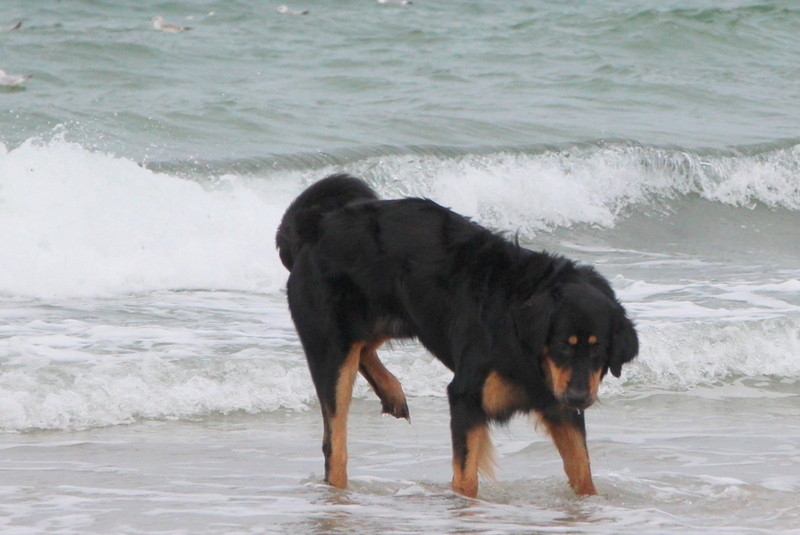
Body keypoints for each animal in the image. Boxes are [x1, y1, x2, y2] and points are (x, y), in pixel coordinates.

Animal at [276, 176, 636, 498]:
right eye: (563, 345)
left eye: (600, 350)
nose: (579, 397)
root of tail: (313, 227)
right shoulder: (467, 396)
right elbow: (466, 481)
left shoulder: (560, 407)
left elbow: (583, 474)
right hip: (332, 343)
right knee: (335, 440)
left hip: (401, 315)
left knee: (364, 348)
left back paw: (391, 391)